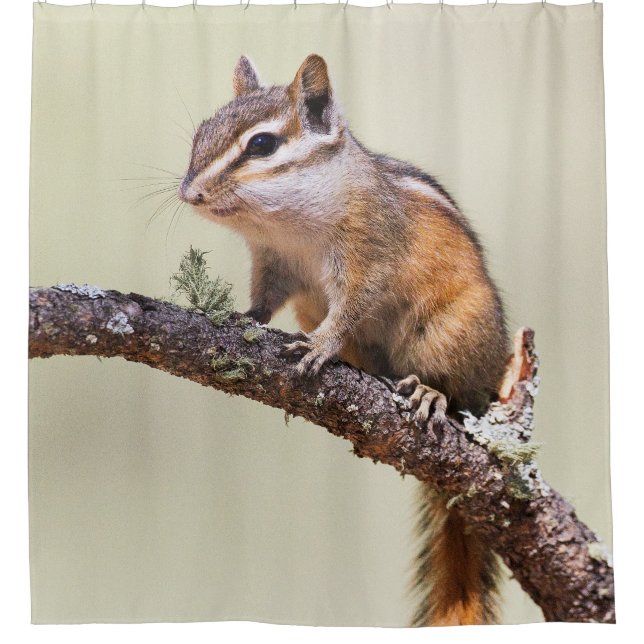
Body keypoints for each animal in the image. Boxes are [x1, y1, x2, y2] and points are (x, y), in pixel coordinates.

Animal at [178, 54, 510, 626]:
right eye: (201, 132)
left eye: (261, 145)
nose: (190, 194)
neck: (287, 224)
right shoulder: (274, 262)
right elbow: (265, 298)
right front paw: (244, 318)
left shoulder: (367, 257)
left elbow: (352, 308)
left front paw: (318, 346)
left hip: (454, 334)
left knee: (461, 395)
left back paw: (431, 393)